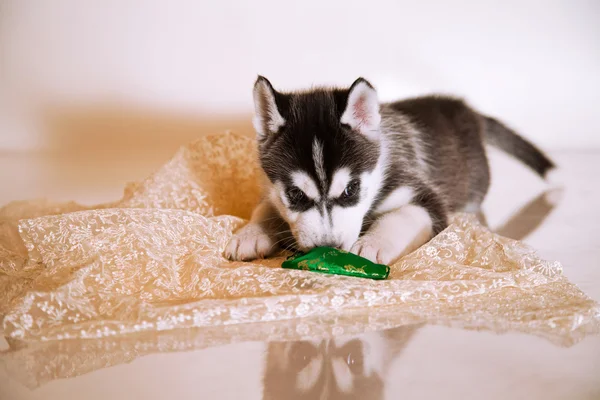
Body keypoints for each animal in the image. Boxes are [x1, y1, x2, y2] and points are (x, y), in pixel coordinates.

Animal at [224, 77, 552, 266]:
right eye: (295, 194)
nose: (328, 247)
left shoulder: (426, 199)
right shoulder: (273, 192)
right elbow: (265, 208)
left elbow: (400, 216)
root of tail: (466, 111)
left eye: (351, 190)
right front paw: (251, 233)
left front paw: (372, 243)